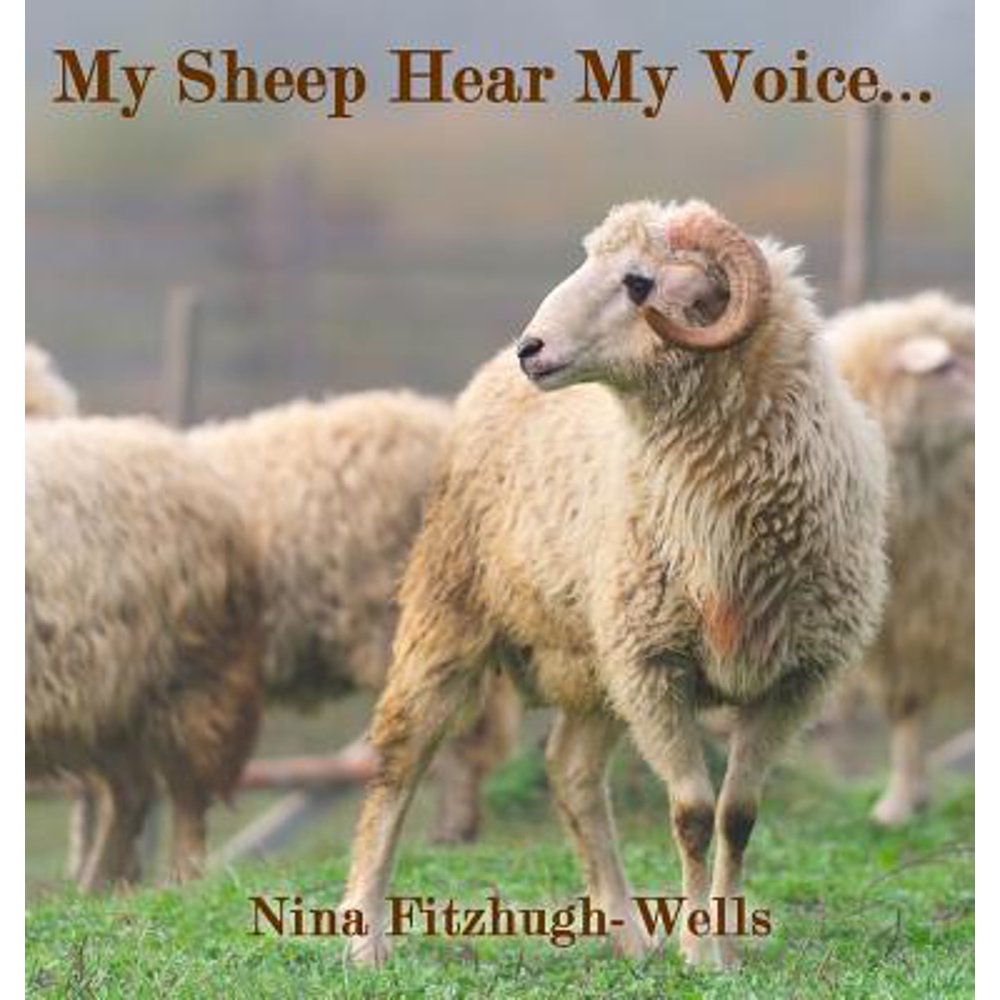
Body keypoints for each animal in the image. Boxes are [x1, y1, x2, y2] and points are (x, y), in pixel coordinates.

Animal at [26, 416, 264, 891]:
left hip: (187, 681)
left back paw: (182, 880)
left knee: (187, 792)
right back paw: (96, 888)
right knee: (131, 794)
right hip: (109, 709)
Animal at [338, 199, 888, 969]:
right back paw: (365, 940)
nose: (531, 348)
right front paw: (699, 954)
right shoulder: (656, 666)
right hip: (449, 611)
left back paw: (630, 934)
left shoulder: (792, 680)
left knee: (570, 772)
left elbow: (738, 816)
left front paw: (722, 947)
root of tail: (488, 377)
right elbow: (692, 814)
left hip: (596, 659)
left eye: (638, 282)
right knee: (398, 760)